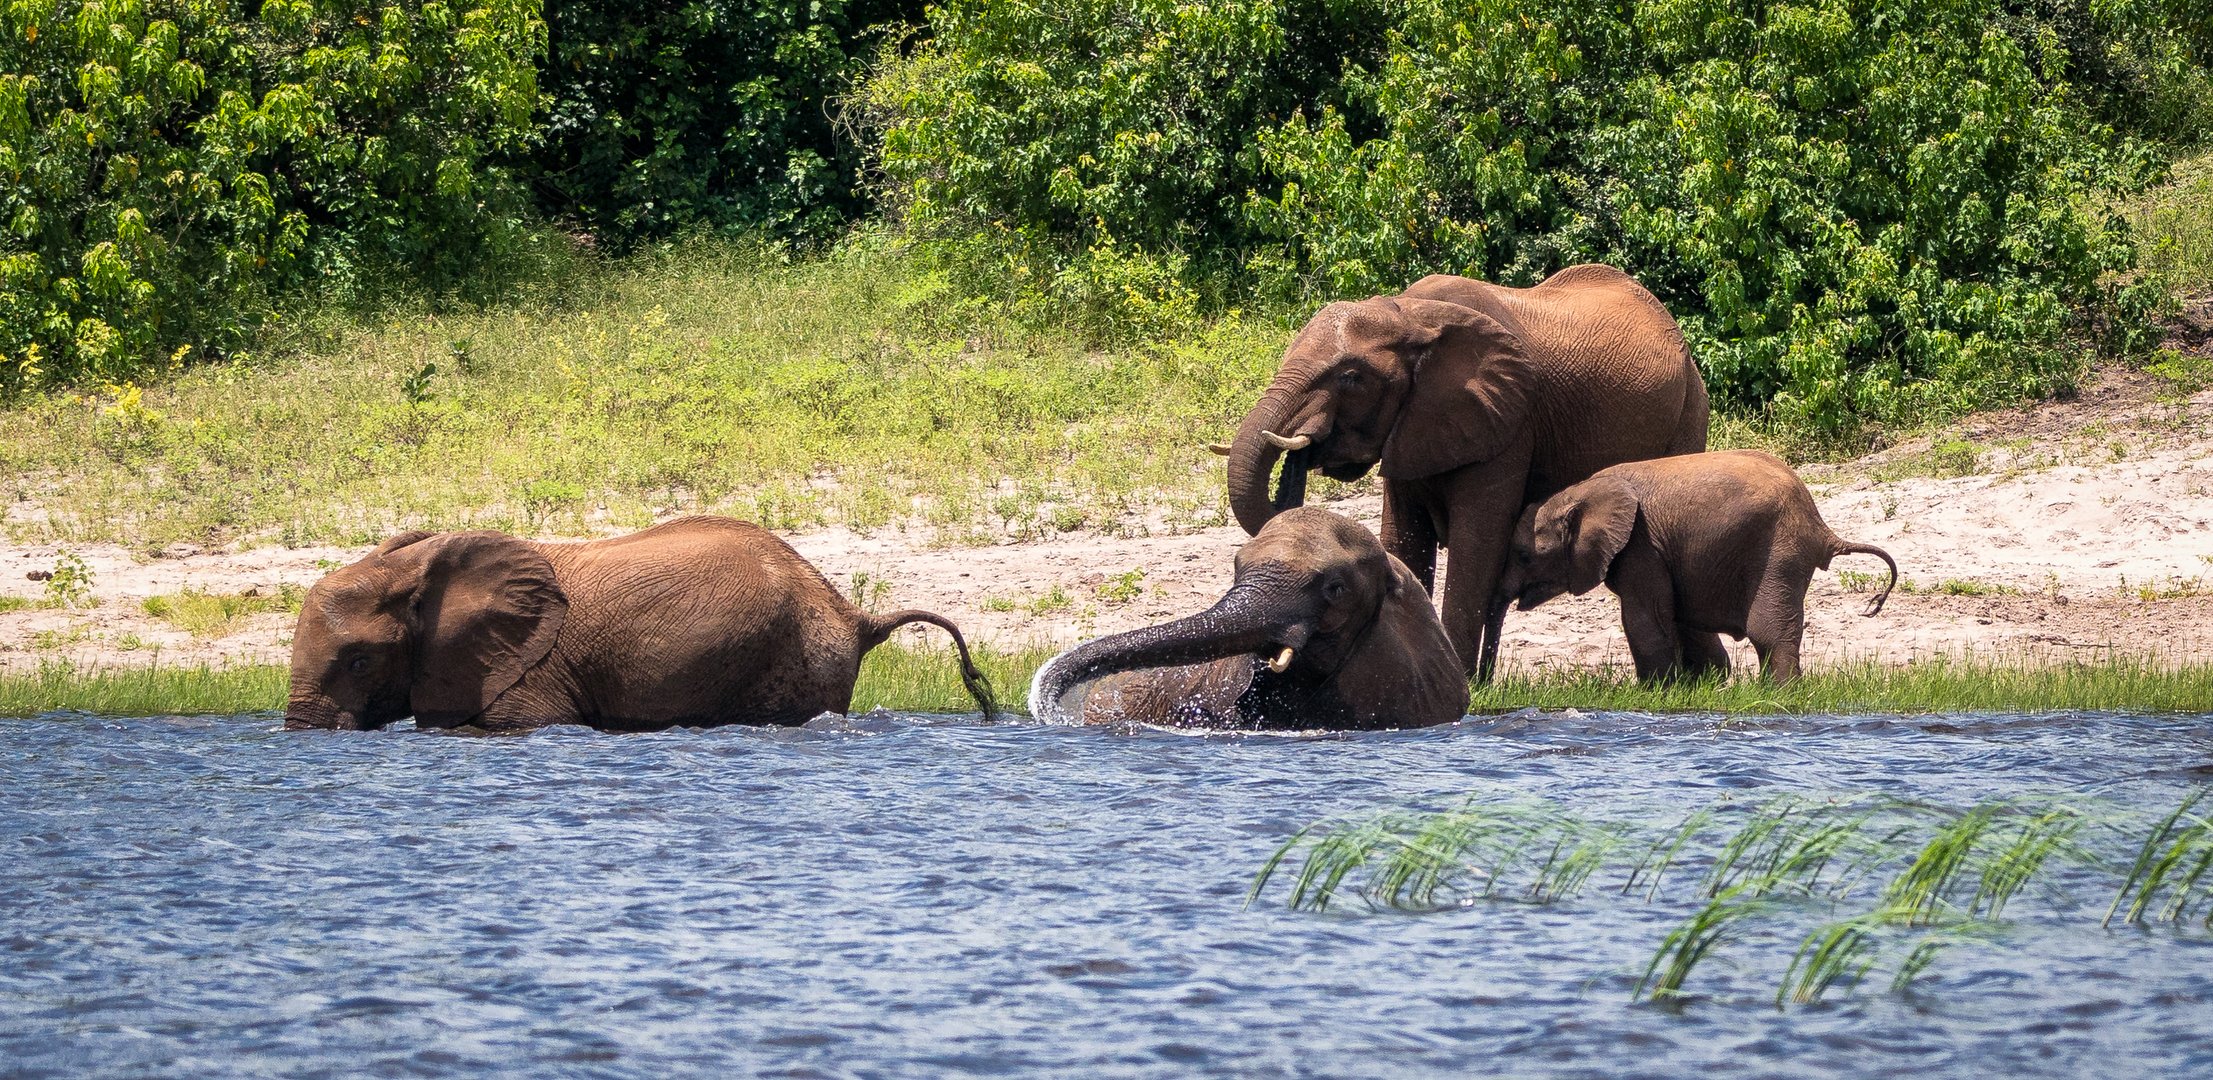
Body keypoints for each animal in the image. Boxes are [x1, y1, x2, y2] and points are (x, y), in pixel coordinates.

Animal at [1212, 264, 1708, 677]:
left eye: (1351, 377)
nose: (1303, 445)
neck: (1408, 315)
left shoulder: (1509, 423)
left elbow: (1476, 545)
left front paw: (1465, 684)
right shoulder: (1415, 425)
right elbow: (1405, 541)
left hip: (1690, 410)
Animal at [1504, 451, 1903, 677]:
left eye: (1524, 556)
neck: (1580, 491)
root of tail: (1821, 525)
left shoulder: (1640, 546)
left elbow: (1646, 619)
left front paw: (1658, 694)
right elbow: (1676, 614)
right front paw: (1702, 685)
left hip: (1781, 550)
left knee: (1768, 632)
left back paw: (1777, 696)